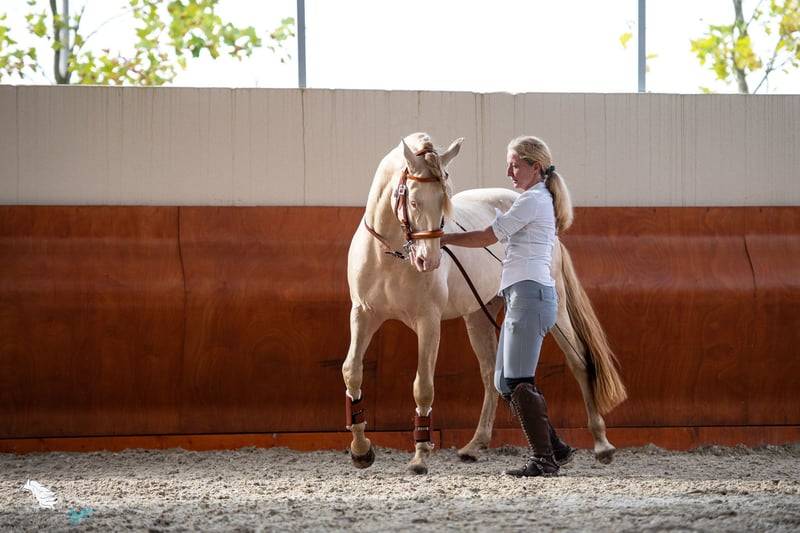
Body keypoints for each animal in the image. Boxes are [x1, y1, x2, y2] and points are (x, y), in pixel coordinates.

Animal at [342, 132, 627, 474]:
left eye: (445, 200)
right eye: (412, 201)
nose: (429, 261)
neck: (390, 255)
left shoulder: (428, 322)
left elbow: (423, 386)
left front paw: (420, 457)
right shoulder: (363, 315)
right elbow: (353, 372)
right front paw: (361, 451)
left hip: (556, 312)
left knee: (579, 361)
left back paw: (601, 445)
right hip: (479, 315)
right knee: (493, 375)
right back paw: (476, 445)